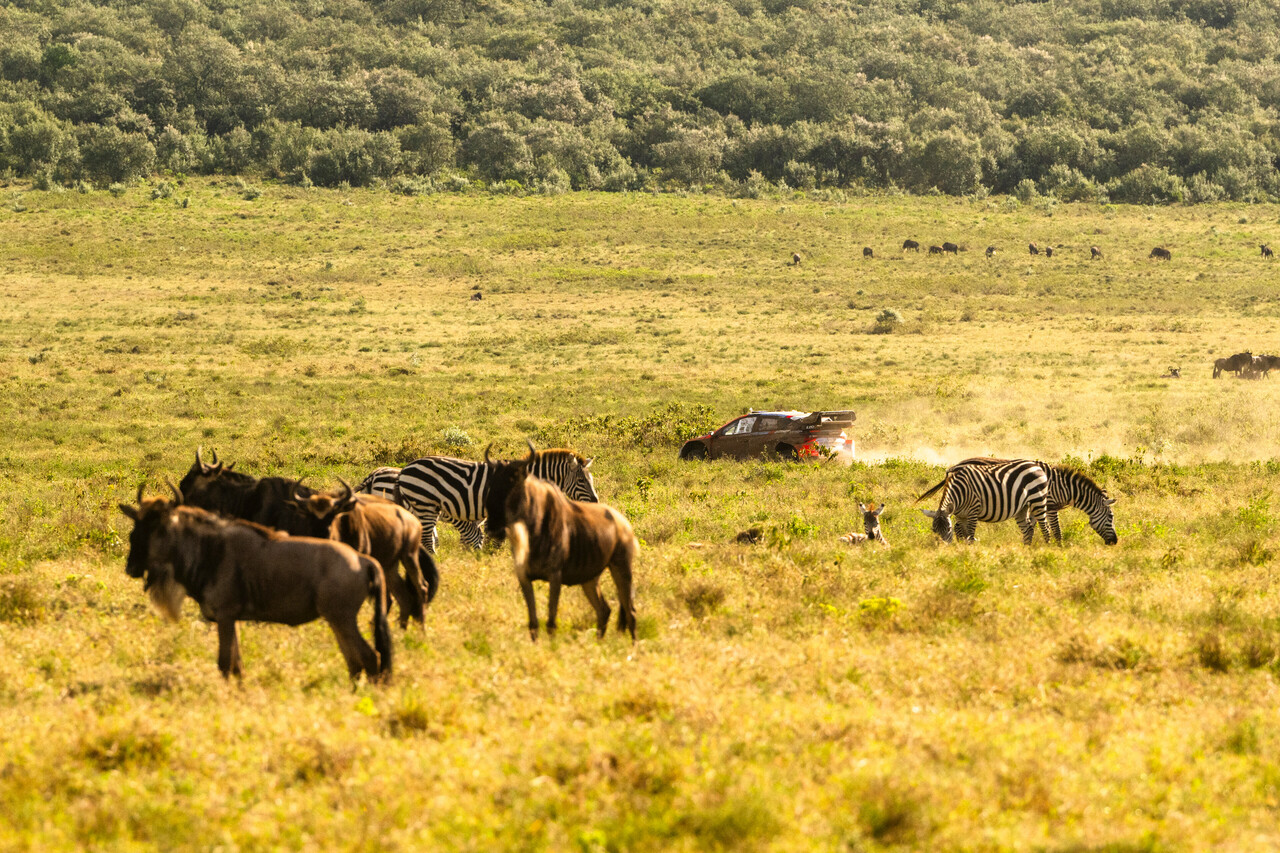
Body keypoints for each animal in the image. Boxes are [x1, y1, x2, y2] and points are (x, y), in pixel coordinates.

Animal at [360, 438, 599, 550]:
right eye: (581, 480)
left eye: (591, 479)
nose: (596, 502)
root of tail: (405, 469)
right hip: (424, 504)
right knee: (427, 539)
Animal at [921, 458, 1049, 545]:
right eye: (934, 530)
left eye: (948, 529)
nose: (944, 548)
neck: (961, 492)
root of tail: (1034, 465)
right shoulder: (960, 516)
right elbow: (964, 535)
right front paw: (963, 550)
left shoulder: (973, 511)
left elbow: (970, 536)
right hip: (1022, 507)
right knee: (1028, 530)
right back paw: (1026, 550)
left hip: (1038, 500)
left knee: (1045, 527)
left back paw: (1046, 549)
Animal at [947, 458, 1116, 545]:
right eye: (1111, 517)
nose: (1115, 541)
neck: (1062, 487)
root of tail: (954, 466)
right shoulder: (1049, 505)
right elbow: (1056, 529)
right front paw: (1059, 547)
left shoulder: (1033, 504)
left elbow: (1031, 527)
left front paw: (1028, 546)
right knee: (957, 526)